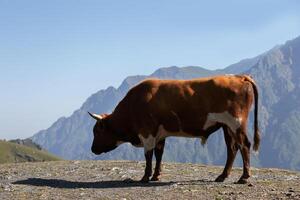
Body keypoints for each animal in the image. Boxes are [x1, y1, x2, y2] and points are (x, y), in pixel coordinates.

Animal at [89, 74, 260, 184]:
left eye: (97, 131)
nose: (92, 149)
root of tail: (239, 76)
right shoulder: (159, 134)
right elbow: (159, 154)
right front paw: (156, 176)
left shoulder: (147, 132)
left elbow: (148, 155)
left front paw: (145, 177)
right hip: (227, 126)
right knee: (232, 149)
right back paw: (222, 176)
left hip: (236, 123)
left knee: (244, 145)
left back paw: (244, 177)